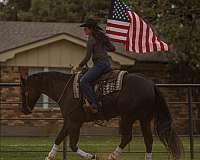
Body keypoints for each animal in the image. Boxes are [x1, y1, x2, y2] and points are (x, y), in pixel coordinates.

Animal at [20, 71, 183, 160]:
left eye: (24, 91)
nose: (24, 110)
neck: (66, 90)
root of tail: (151, 84)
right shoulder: (70, 121)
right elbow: (61, 139)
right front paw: (49, 156)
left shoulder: (74, 122)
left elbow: (71, 144)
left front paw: (92, 156)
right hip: (144, 119)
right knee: (148, 140)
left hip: (128, 117)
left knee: (127, 137)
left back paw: (112, 156)